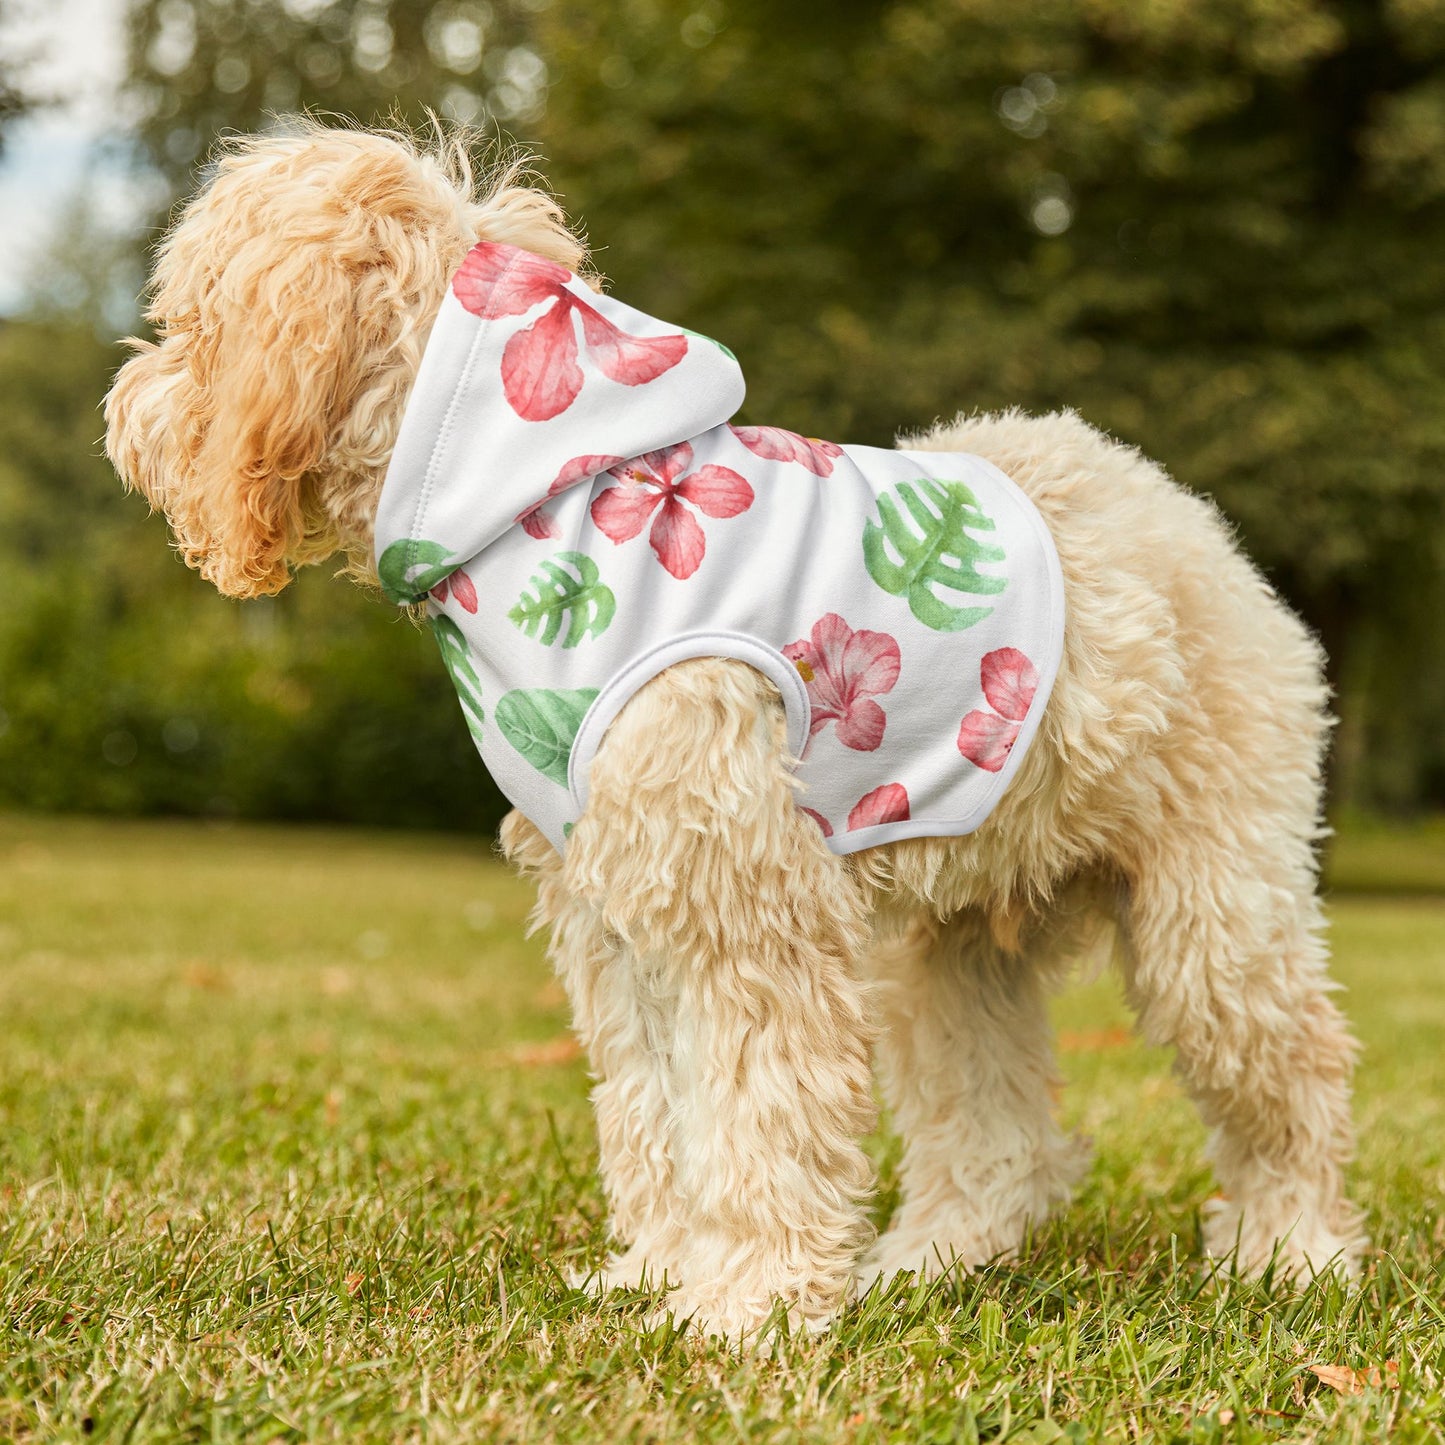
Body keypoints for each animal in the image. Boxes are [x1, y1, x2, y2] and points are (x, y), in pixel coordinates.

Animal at [106, 124, 1358, 1340]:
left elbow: (759, 1111)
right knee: (997, 1132)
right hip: (950, 947)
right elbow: (655, 1110)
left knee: (1293, 1073)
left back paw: (1290, 1252)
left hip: (1212, 913)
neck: (539, 500)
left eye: (189, 323)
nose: (123, 409)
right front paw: (661, 1272)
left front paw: (745, 1304)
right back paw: (930, 1260)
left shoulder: (745, 907)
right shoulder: (617, 912)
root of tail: (1184, 518)